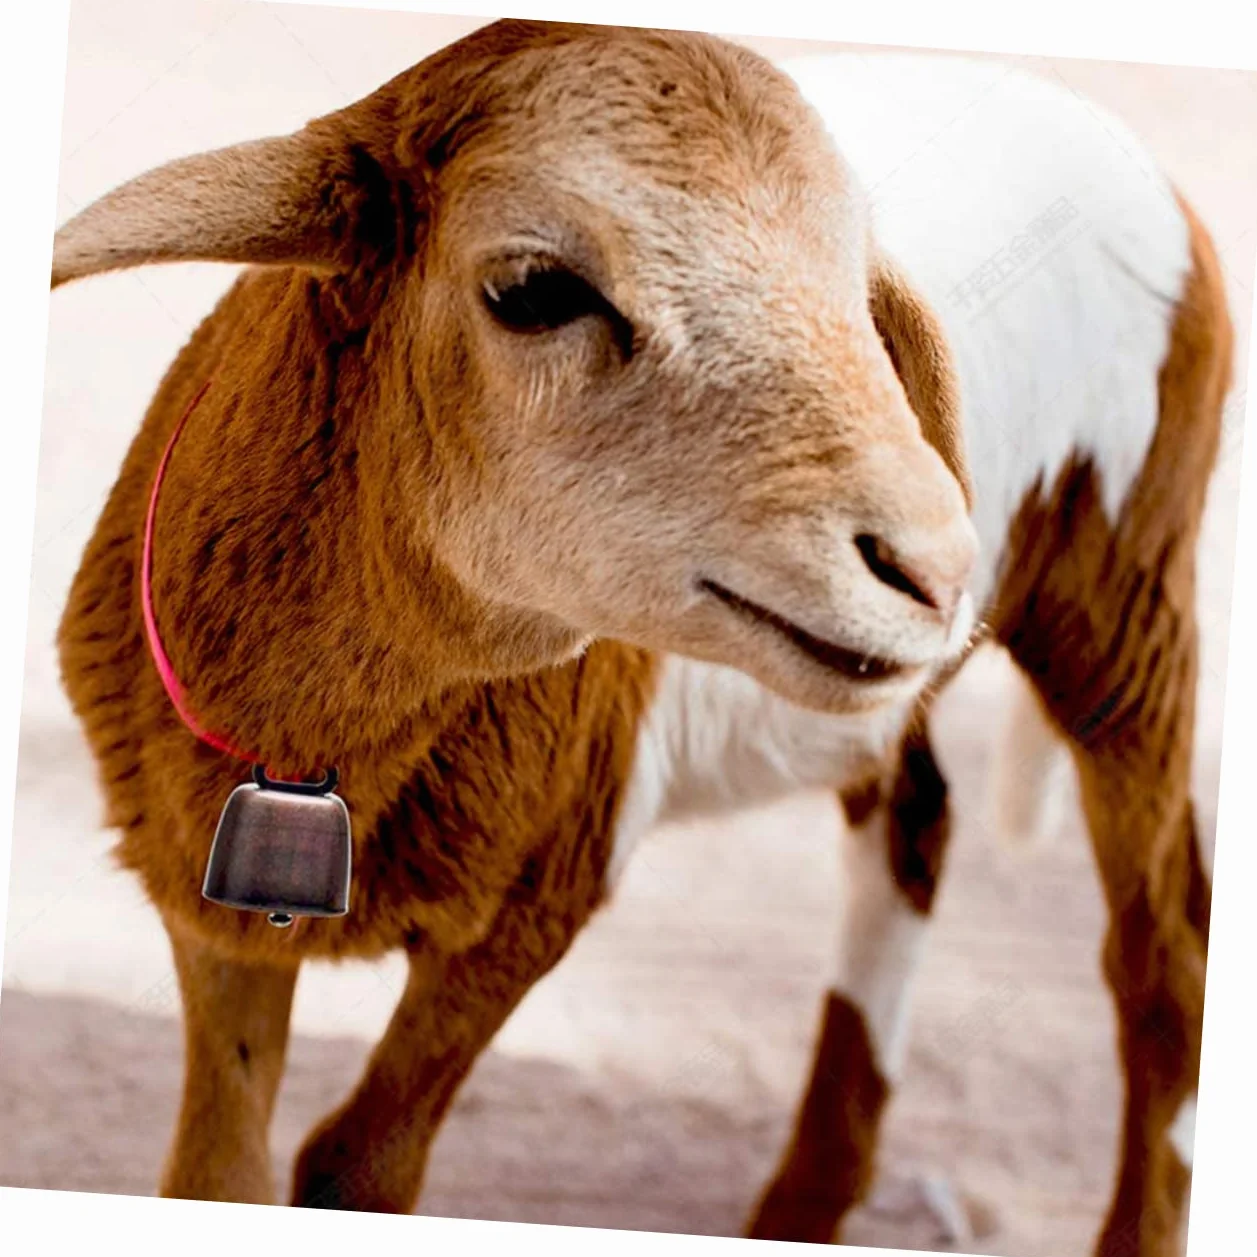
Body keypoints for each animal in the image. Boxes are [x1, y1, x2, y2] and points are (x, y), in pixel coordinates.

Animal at [49, 19, 1228, 1257]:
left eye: (860, 299)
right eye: (531, 289)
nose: (939, 569)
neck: (317, 752)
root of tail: (1119, 143)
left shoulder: (540, 893)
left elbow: (354, 1166)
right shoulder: (211, 915)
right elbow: (213, 1171)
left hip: (1127, 601)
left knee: (1162, 958)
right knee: (916, 826)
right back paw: (802, 1206)